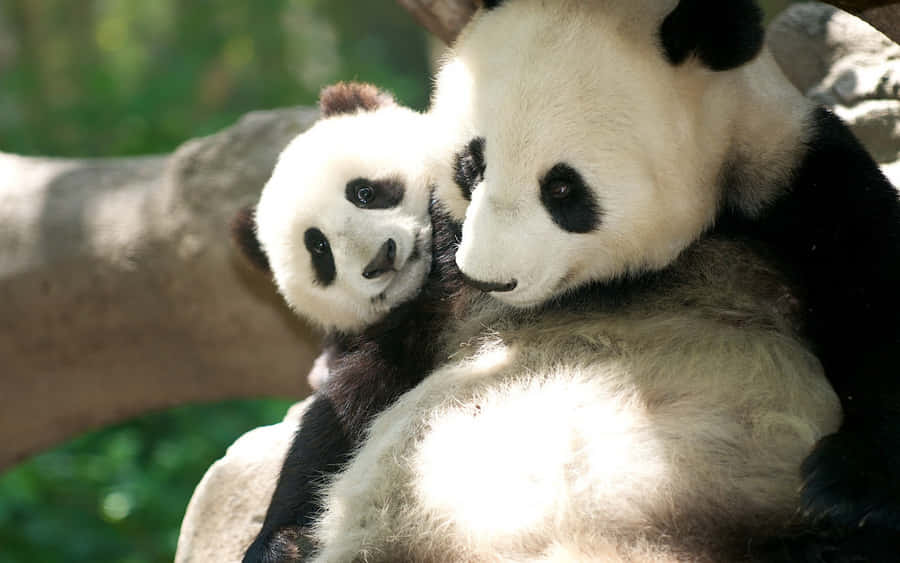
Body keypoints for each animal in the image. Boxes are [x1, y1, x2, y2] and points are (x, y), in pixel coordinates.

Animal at [428, 0, 900, 543]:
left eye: (562, 189)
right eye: (472, 164)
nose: (489, 279)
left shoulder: (803, 181)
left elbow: (877, 308)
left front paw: (849, 491)